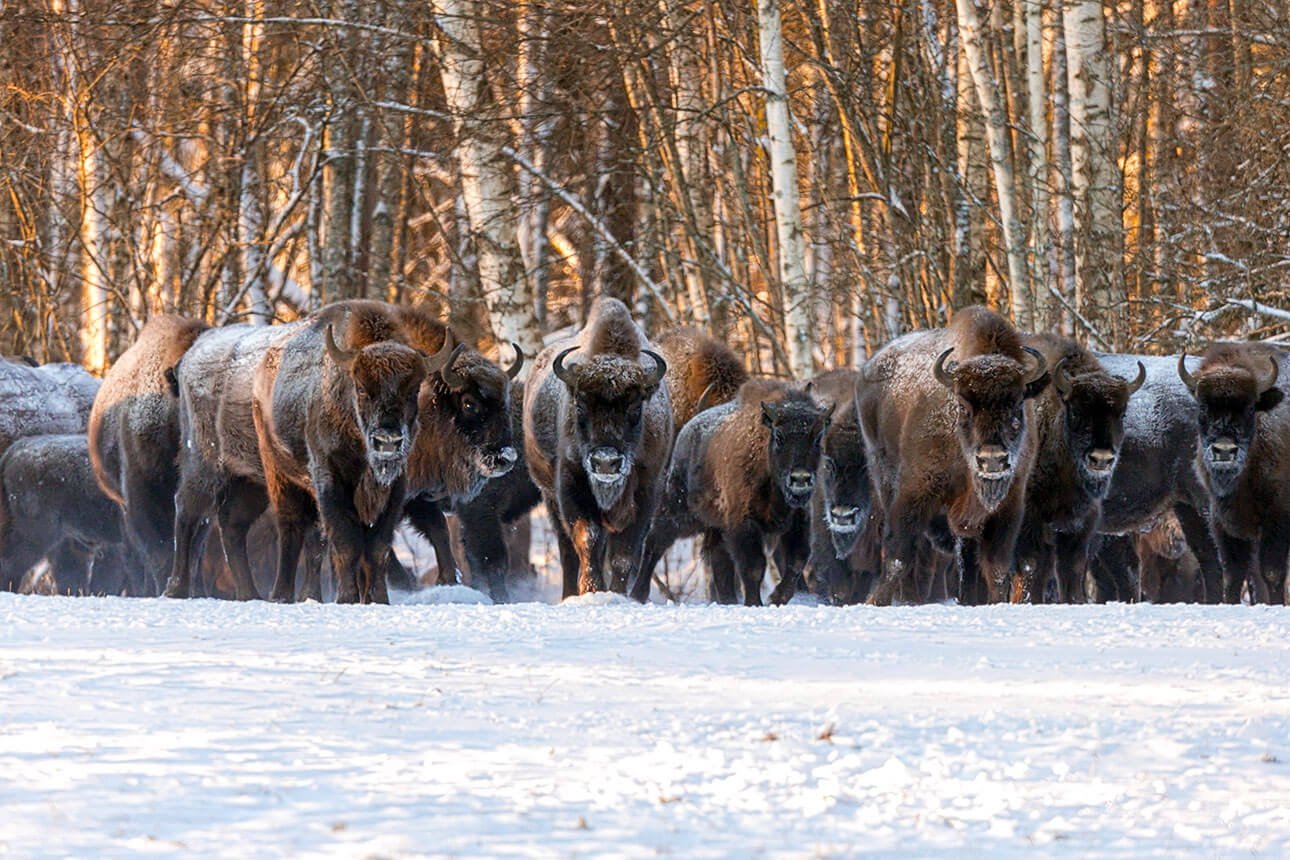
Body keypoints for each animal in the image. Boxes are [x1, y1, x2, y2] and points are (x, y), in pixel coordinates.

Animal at [521, 296, 670, 598]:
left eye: (635, 408)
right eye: (579, 405)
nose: (605, 462)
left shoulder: (647, 490)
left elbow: (624, 553)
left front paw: (616, 594)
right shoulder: (571, 487)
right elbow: (587, 540)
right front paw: (591, 590)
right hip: (549, 497)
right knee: (567, 551)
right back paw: (568, 593)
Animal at [639, 376, 830, 605]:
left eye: (818, 437)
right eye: (779, 435)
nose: (800, 479)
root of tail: (688, 427)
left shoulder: (798, 521)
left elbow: (797, 560)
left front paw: (776, 598)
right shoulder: (744, 524)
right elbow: (754, 567)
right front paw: (755, 603)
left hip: (716, 526)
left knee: (719, 560)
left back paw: (728, 599)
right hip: (678, 512)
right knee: (655, 542)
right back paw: (637, 595)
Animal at [856, 308, 1047, 605]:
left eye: (1017, 405)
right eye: (963, 406)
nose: (992, 459)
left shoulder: (1008, 508)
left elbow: (997, 567)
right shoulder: (914, 493)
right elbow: (899, 556)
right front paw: (876, 601)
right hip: (884, 479)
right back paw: (910, 599)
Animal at [1011, 332, 1145, 603]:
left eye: (1122, 414)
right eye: (1075, 411)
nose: (1101, 458)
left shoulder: (1081, 523)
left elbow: (1071, 569)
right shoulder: (1032, 519)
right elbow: (1033, 566)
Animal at [1181, 340, 1290, 603]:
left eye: (1250, 407)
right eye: (1203, 407)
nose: (1224, 451)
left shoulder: (1278, 517)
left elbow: (1272, 572)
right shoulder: (1222, 521)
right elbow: (1232, 574)